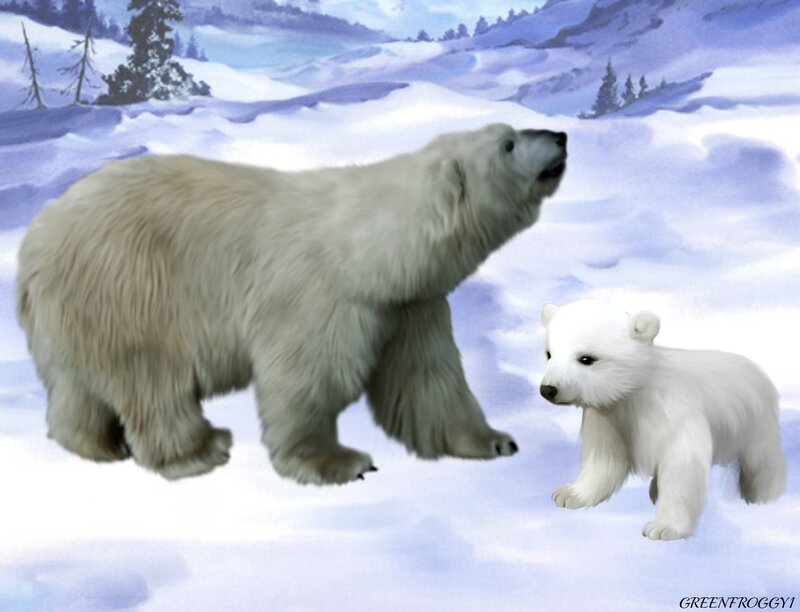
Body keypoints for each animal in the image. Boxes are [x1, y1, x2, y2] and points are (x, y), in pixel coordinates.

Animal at [16, 123, 568, 484]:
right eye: (508, 143)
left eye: (510, 128)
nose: (560, 135)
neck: (369, 249)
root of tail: (35, 239)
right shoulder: (318, 293)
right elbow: (308, 377)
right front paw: (339, 462)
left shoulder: (409, 305)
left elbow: (429, 380)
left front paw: (492, 440)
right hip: (131, 285)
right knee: (153, 377)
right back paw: (200, 449)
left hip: (77, 312)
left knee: (79, 387)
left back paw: (95, 443)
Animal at [539, 299, 786, 540]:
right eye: (549, 353)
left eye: (587, 358)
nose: (548, 389)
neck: (636, 390)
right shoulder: (610, 416)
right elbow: (604, 460)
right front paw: (569, 494)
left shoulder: (673, 413)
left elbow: (681, 466)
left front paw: (663, 528)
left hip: (755, 419)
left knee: (761, 460)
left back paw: (762, 495)